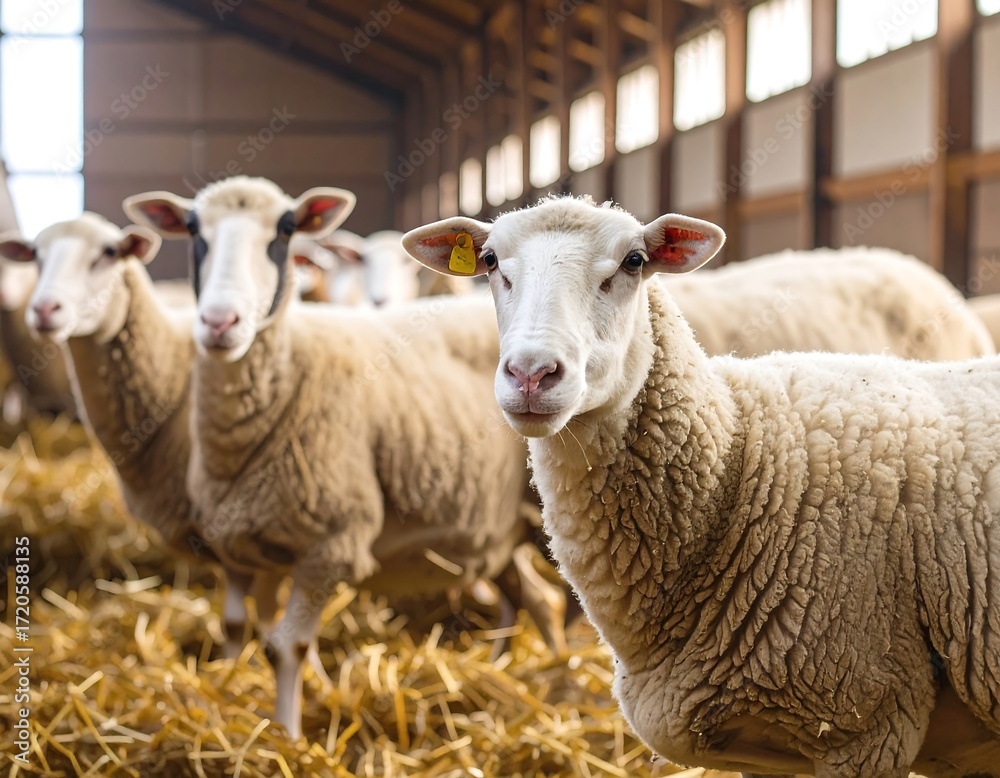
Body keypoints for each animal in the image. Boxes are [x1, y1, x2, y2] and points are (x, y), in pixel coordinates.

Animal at [124, 175, 566, 740]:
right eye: (194, 228)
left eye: (285, 228)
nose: (220, 323)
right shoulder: (253, 546)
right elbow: (247, 629)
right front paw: (242, 695)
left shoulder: (333, 543)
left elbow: (285, 646)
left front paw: (288, 737)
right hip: (501, 529)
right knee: (538, 600)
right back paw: (525, 675)